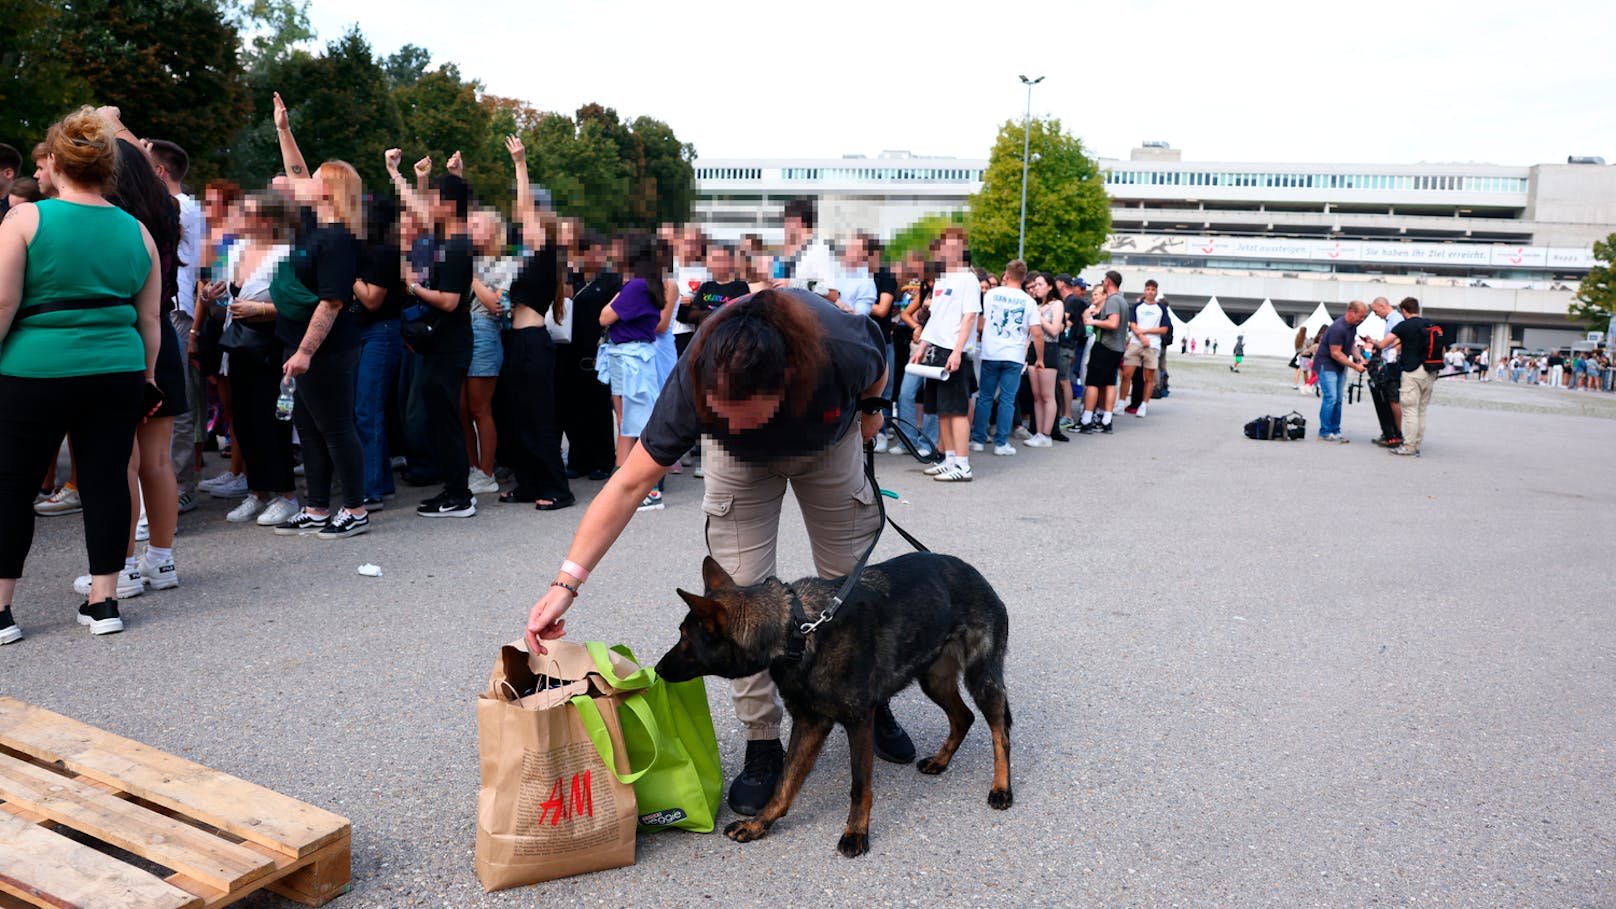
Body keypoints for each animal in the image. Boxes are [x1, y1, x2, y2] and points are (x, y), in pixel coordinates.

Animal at [652, 549, 1008, 854]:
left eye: (684, 638)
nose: (656, 669)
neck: (798, 630)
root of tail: (976, 575)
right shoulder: (810, 722)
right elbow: (785, 782)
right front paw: (759, 824)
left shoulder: (859, 721)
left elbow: (859, 786)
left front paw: (856, 833)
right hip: (933, 680)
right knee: (963, 717)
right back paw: (941, 761)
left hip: (982, 680)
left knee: (1000, 731)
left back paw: (1001, 788)